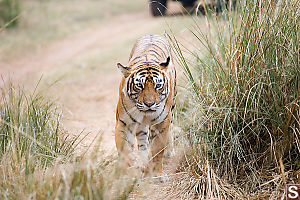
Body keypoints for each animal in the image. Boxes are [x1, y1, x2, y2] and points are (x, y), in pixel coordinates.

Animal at [114, 34, 176, 181]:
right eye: (139, 86)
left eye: (158, 86)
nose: (149, 104)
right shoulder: (123, 123)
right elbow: (125, 151)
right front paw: (132, 173)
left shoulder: (162, 123)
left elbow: (157, 149)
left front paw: (157, 174)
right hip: (140, 126)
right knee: (142, 142)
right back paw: (143, 163)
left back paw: (168, 152)